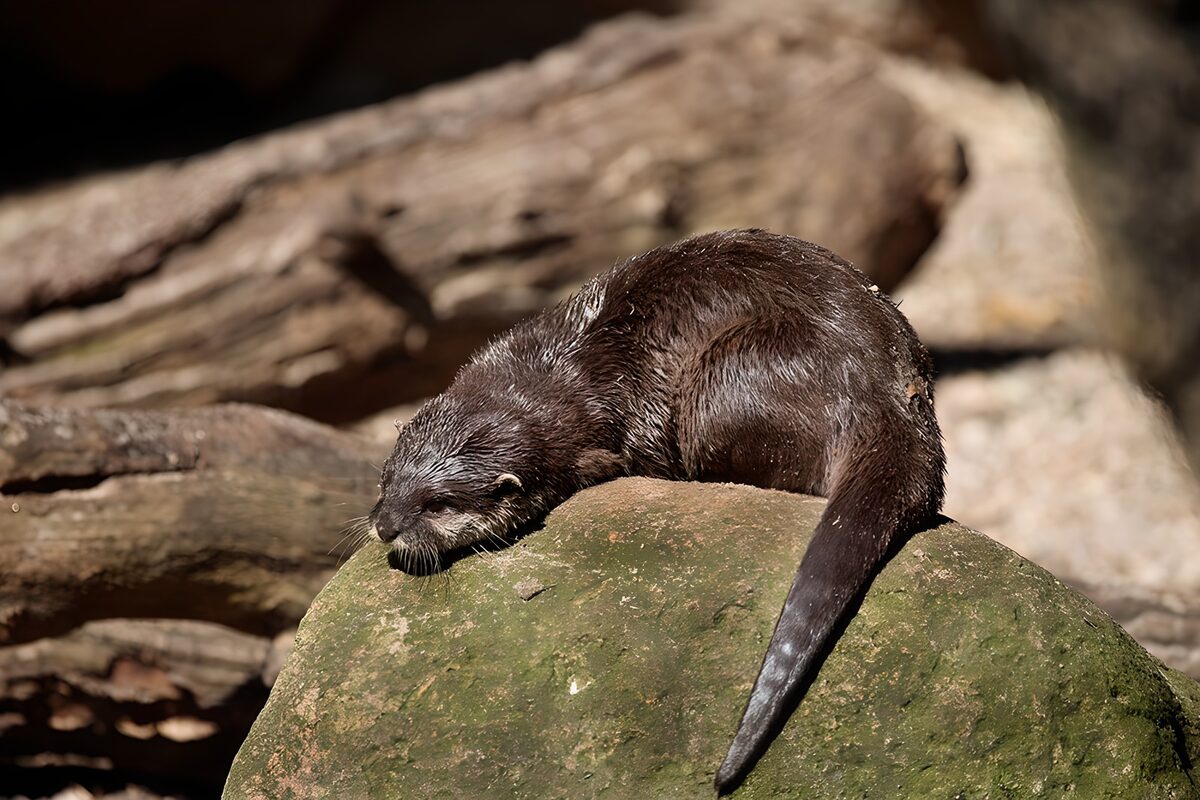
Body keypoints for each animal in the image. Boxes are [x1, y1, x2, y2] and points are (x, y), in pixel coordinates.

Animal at [370, 229, 945, 794]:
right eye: (387, 477)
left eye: (438, 504)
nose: (384, 526)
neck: (551, 371)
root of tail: (886, 396)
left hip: (728, 374)